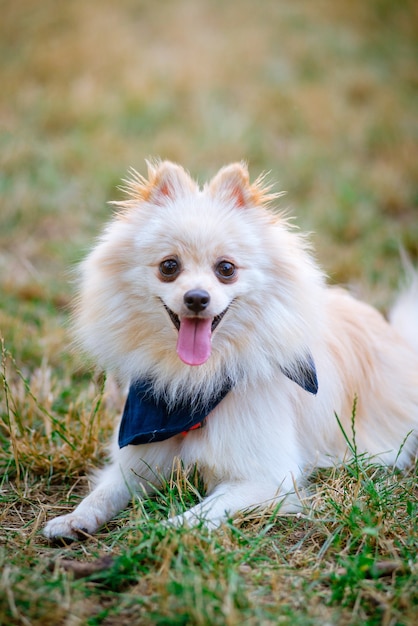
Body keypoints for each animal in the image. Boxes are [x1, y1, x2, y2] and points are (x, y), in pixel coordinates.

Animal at [44, 158, 418, 540]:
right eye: (169, 266)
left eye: (226, 269)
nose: (196, 298)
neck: (195, 386)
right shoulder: (139, 455)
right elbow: (105, 492)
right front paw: (75, 518)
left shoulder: (265, 479)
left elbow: (197, 514)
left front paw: (161, 532)